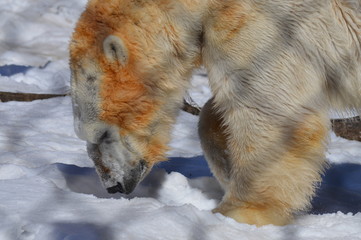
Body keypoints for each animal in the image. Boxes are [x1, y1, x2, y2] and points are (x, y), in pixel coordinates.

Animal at [69, 0, 360, 226]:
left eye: (102, 133)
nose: (112, 186)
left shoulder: (269, 23)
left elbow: (268, 107)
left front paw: (238, 211)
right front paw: (226, 167)